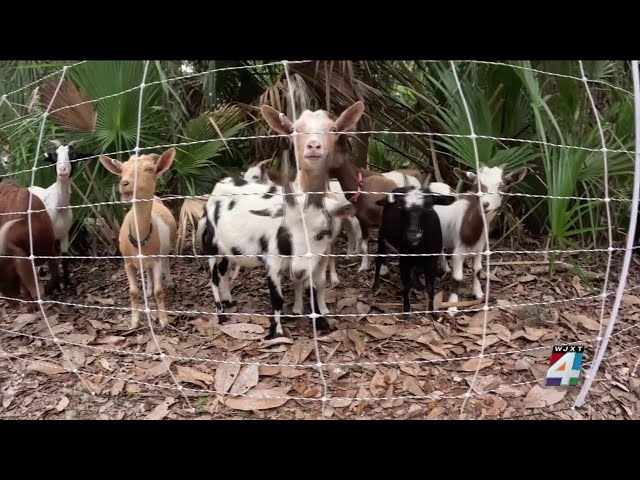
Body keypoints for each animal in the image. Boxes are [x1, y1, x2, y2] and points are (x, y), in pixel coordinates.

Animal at [97, 148, 178, 328]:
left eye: (150, 169)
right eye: (122, 170)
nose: (125, 184)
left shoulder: (155, 259)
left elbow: (159, 291)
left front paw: (163, 320)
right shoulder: (127, 263)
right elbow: (133, 292)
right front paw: (134, 322)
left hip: (166, 247)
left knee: (166, 261)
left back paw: (169, 282)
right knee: (147, 272)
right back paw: (147, 290)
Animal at [200, 158, 356, 338]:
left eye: (322, 232)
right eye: (287, 231)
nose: (298, 272)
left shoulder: (312, 262)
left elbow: (313, 289)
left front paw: (321, 323)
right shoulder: (272, 263)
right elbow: (277, 298)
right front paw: (277, 332)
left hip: (228, 248)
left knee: (223, 269)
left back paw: (229, 300)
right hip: (211, 245)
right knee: (213, 277)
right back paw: (221, 314)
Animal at [372, 178, 458, 316]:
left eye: (428, 207)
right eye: (401, 207)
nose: (413, 234)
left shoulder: (431, 260)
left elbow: (430, 287)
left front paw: (432, 312)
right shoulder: (404, 259)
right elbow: (407, 286)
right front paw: (406, 311)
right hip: (382, 233)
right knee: (379, 258)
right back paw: (376, 285)